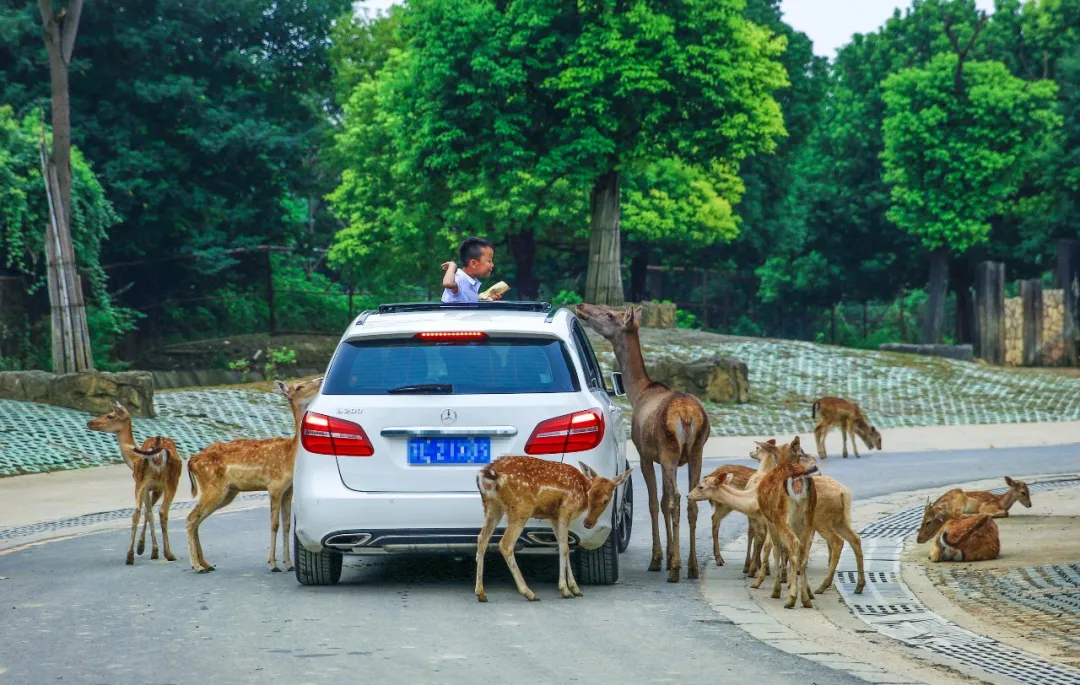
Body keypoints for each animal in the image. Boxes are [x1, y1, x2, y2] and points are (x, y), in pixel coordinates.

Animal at [87, 399, 182, 561]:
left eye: (110, 415)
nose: (90, 422)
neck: (132, 460)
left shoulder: (150, 487)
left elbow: (148, 512)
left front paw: (146, 549)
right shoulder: (154, 487)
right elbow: (148, 512)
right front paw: (148, 549)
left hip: (147, 481)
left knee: (142, 511)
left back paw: (138, 554)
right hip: (164, 481)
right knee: (157, 511)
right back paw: (161, 553)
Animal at [183, 375, 319, 574]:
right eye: (299, 386)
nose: (320, 379)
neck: (290, 454)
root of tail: (191, 461)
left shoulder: (289, 490)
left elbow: (287, 525)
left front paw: (289, 564)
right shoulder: (274, 485)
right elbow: (274, 524)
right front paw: (273, 564)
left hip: (227, 492)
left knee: (197, 520)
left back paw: (206, 564)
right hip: (212, 486)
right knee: (191, 518)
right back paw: (197, 566)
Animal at [475, 455, 630, 600]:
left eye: (605, 500)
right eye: (590, 494)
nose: (588, 523)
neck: (581, 491)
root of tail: (489, 472)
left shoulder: (554, 517)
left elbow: (563, 546)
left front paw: (575, 588)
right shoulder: (566, 509)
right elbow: (564, 548)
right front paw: (565, 590)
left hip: (492, 506)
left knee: (482, 538)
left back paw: (481, 593)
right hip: (520, 508)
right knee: (505, 544)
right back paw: (529, 593)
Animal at [574, 302, 708, 583]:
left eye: (609, 314)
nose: (581, 306)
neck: (639, 392)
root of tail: (688, 416)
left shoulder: (646, 454)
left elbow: (655, 503)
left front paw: (660, 559)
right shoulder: (668, 458)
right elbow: (663, 500)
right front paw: (669, 555)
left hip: (669, 450)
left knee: (675, 499)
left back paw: (676, 568)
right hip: (696, 451)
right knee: (691, 500)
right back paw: (692, 566)